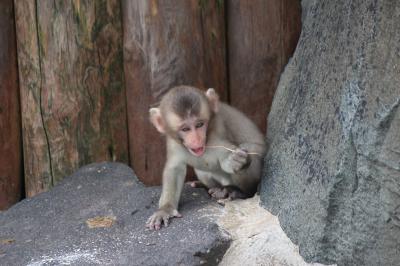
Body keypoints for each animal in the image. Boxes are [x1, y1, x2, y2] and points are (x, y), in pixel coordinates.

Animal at [146, 86, 266, 230]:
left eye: (199, 124)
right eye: (185, 129)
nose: (197, 139)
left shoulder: (217, 132)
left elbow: (227, 156)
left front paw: (235, 161)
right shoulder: (173, 142)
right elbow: (175, 169)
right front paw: (165, 209)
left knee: (249, 149)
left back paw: (237, 191)